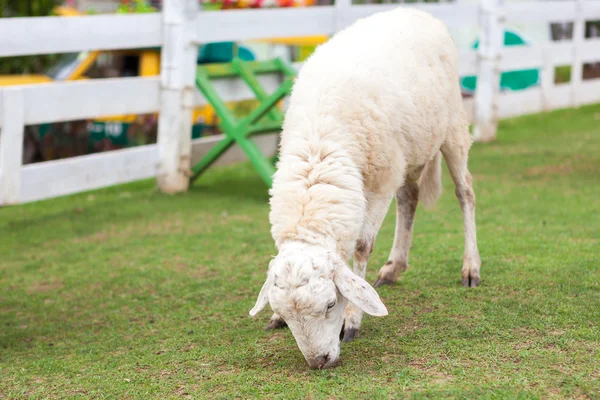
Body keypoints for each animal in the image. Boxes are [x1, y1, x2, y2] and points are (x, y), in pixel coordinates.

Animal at [247, 7, 478, 368]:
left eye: (330, 304)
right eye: (284, 311)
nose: (319, 360)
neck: (318, 145)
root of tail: (414, 10)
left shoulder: (381, 179)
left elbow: (362, 246)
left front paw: (353, 319)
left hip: (452, 125)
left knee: (465, 191)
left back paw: (471, 268)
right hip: (410, 152)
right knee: (409, 198)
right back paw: (394, 267)